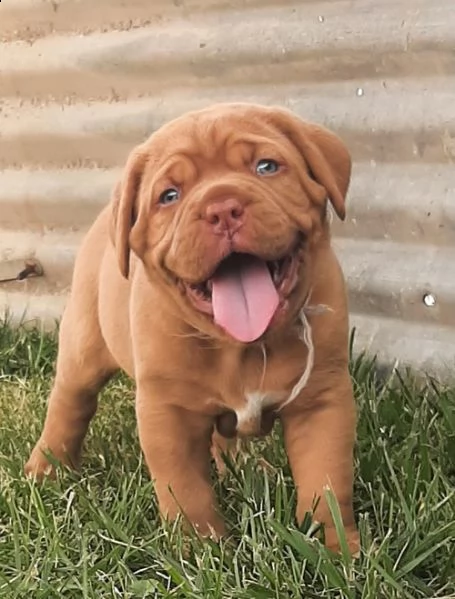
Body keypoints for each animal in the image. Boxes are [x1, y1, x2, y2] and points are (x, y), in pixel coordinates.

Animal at [25, 102, 360, 552]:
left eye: (266, 166)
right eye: (169, 196)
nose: (222, 209)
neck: (241, 346)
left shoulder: (322, 399)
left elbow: (326, 482)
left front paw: (338, 550)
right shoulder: (169, 413)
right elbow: (185, 490)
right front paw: (200, 550)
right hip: (83, 345)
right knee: (70, 404)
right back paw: (46, 469)